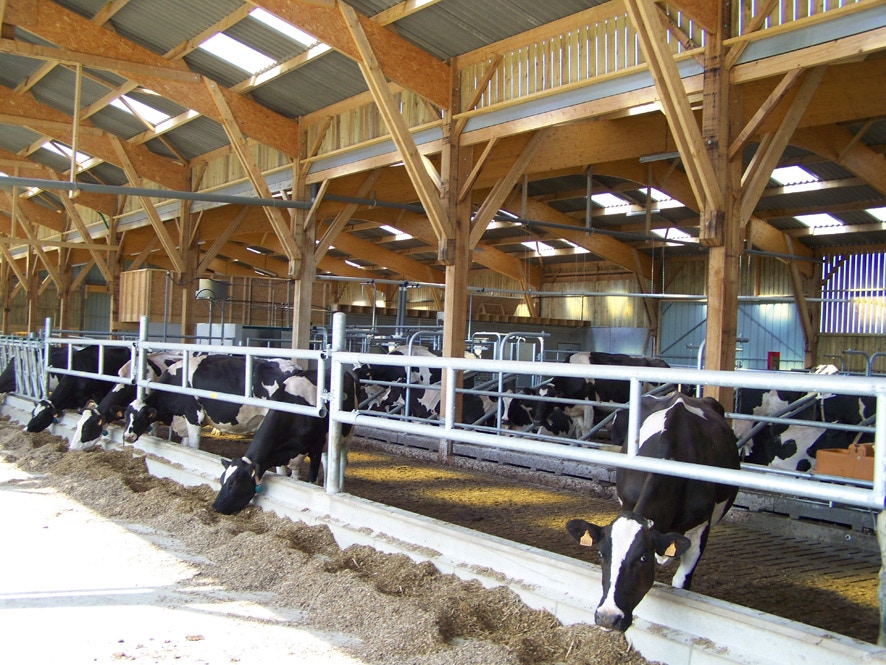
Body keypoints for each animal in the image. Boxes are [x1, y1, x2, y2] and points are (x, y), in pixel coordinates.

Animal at [211, 368, 360, 515]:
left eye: (234, 483)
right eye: (222, 479)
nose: (215, 506)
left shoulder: (315, 448)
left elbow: (311, 480)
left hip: (347, 434)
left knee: (342, 461)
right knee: (327, 460)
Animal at [566, 392, 739, 631]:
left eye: (643, 558)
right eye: (600, 554)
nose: (608, 617)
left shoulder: (700, 528)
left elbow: (681, 581)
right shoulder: (627, 504)